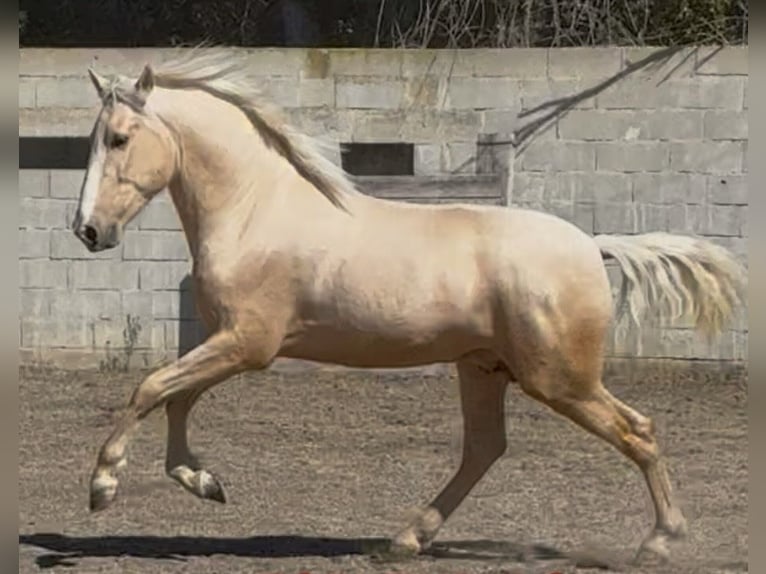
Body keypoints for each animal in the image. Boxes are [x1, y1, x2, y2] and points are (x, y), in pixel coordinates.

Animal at [71, 50, 746, 563]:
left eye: (120, 138)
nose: (88, 230)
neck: (254, 209)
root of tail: (592, 244)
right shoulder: (227, 343)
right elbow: (174, 399)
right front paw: (205, 483)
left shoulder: (248, 344)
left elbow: (151, 389)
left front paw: (103, 487)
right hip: (484, 369)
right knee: (485, 449)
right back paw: (406, 539)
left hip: (561, 379)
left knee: (638, 431)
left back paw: (659, 542)